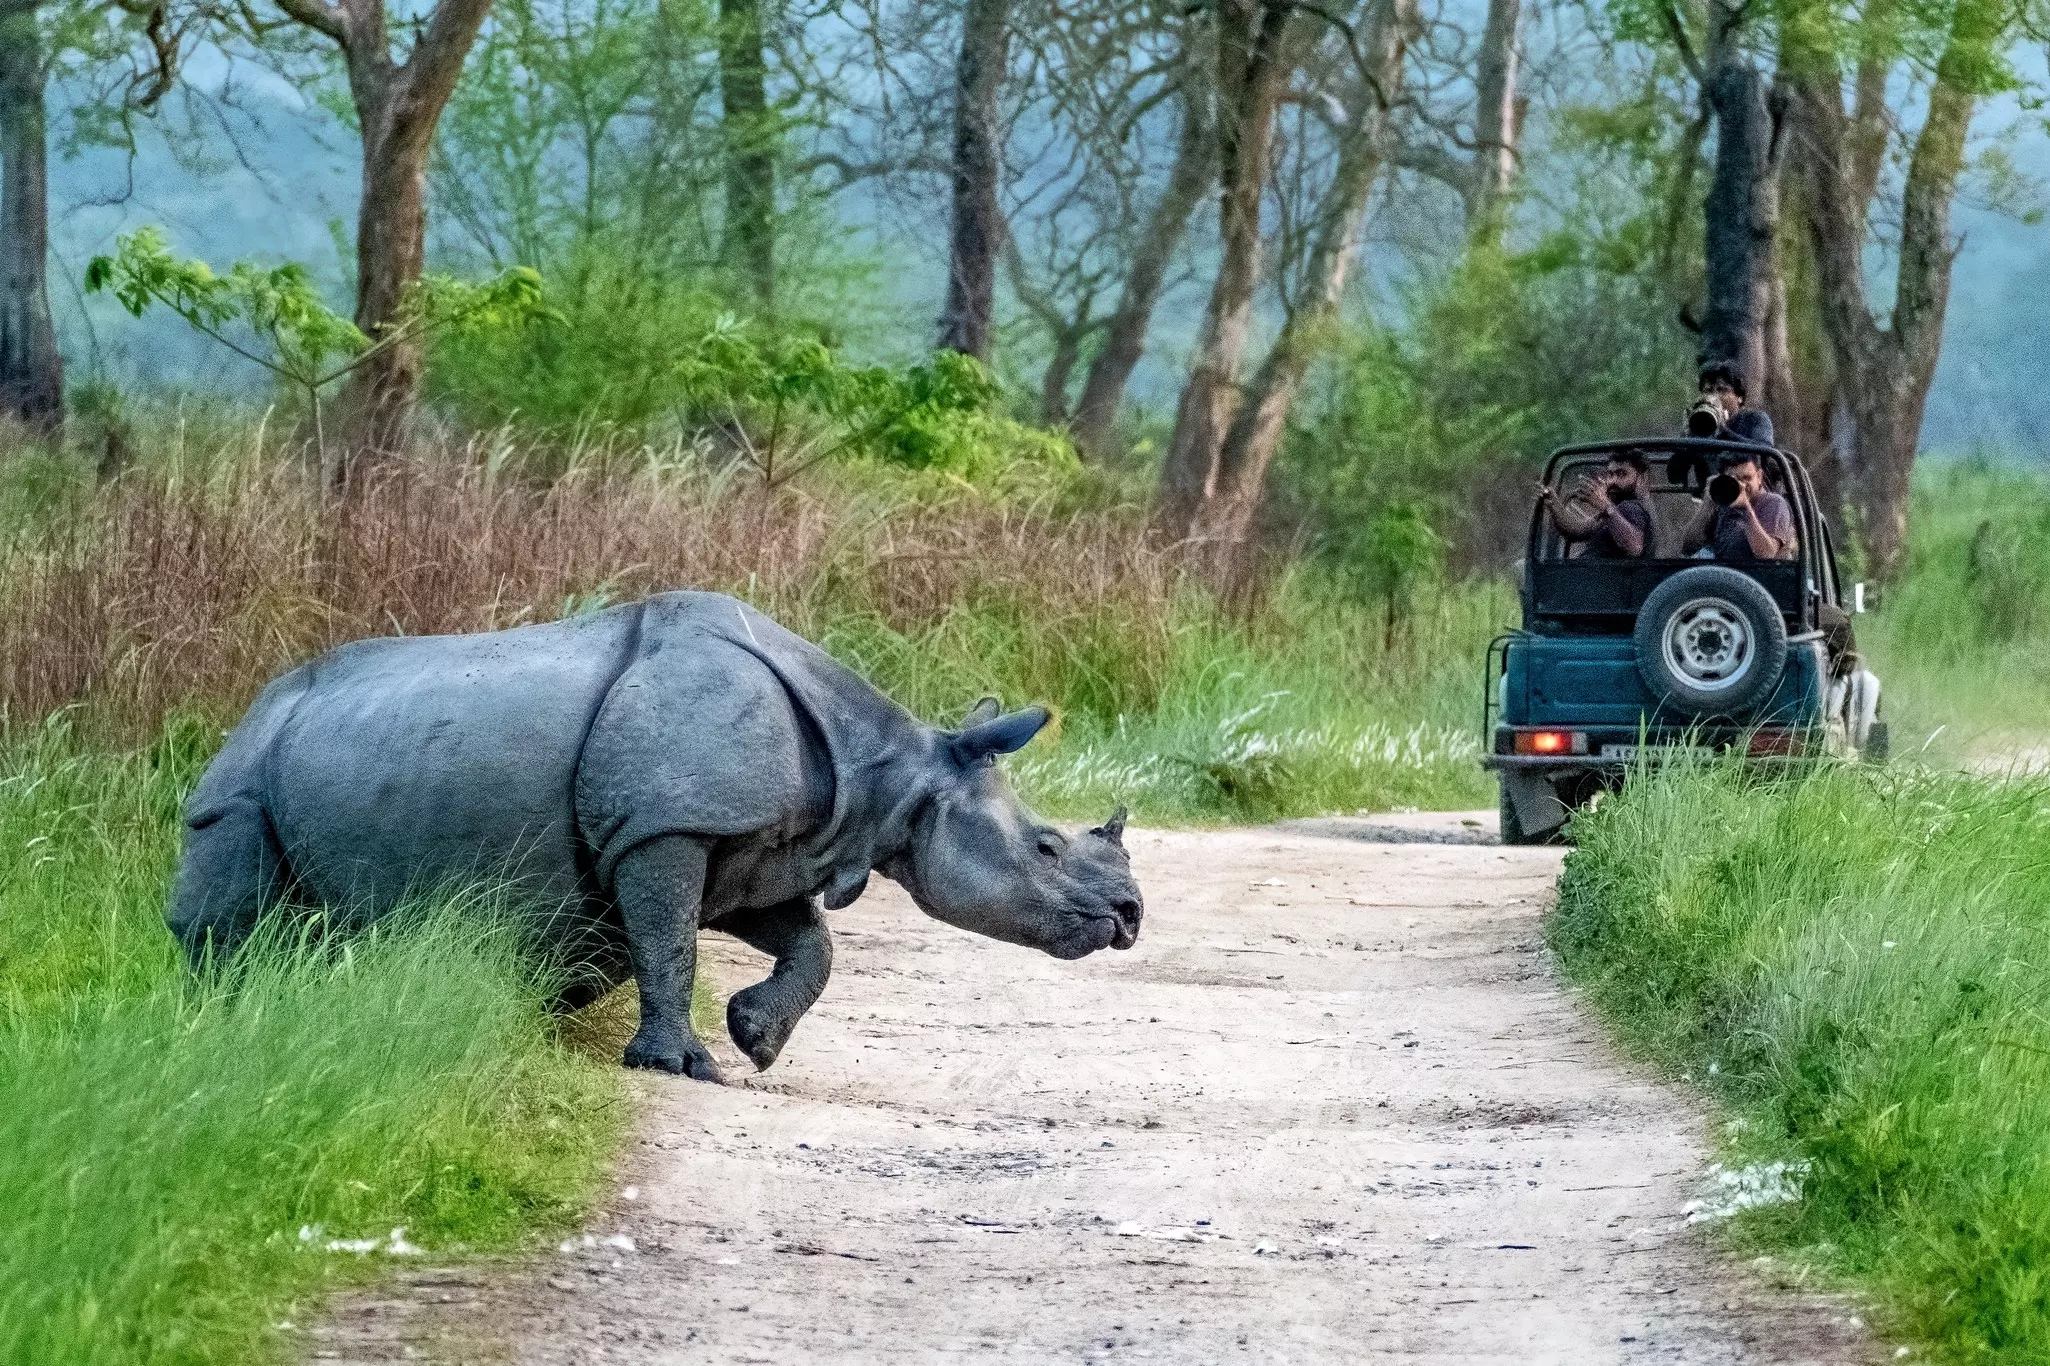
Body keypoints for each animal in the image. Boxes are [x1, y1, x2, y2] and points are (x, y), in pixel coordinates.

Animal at [167, 590, 1142, 1081]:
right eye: (1046, 848)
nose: (1131, 916)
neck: (884, 772)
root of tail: (254, 704)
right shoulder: (668, 827)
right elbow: (672, 943)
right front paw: (683, 1066)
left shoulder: (758, 851)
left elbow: (810, 943)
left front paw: (757, 1040)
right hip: (240, 776)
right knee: (230, 897)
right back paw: (225, 1018)